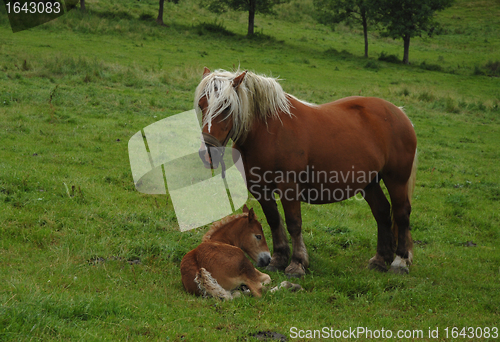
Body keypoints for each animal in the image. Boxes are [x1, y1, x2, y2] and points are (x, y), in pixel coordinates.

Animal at [195, 69, 418, 278]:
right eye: (201, 104)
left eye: (226, 107)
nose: (208, 154)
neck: (268, 133)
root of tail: (399, 113)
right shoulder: (260, 188)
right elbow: (274, 221)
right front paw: (278, 259)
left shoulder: (289, 186)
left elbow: (294, 224)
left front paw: (297, 263)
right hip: (369, 182)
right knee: (382, 212)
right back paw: (381, 259)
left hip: (396, 179)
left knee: (401, 213)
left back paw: (400, 261)